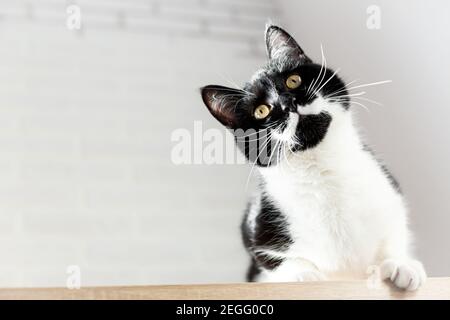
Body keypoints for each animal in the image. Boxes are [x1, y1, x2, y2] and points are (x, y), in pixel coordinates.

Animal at [200, 25, 426, 290]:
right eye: (261, 111)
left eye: (293, 80)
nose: (288, 103)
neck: (322, 169)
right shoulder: (256, 225)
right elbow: (274, 258)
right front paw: (303, 274)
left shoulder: (389, 193)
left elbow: (394, 233)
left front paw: (401, 264)